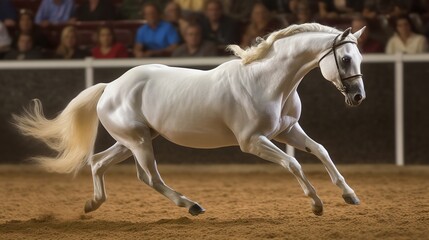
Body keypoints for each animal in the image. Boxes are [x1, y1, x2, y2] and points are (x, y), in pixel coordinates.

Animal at [15, 23, 366, 217]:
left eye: (359, 57)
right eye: (346, 58)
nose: (358, 97)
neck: (267, 81)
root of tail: (109, 87)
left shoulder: (288, 130)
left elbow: (320, 151)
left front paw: (350, 195)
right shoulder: (253, 142)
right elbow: (293, 163)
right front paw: (317, 204)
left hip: (134, 140)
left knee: (100, 162)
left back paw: (93, 204)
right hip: (138, 141)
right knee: (150, 177)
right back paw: (193, 206)